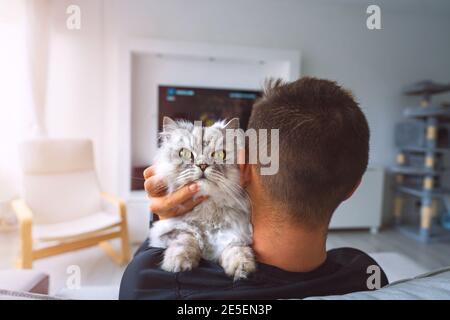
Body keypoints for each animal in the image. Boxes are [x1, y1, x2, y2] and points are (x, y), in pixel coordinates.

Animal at [150, 117, 256, 280]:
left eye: (219, 155)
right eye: (185, 153)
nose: (202, 165)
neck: (207, 210)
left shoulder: (234, 233)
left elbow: (236, 249)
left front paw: (242, 268)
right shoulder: (174, 228)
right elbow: (187, 238)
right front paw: (177, 263)